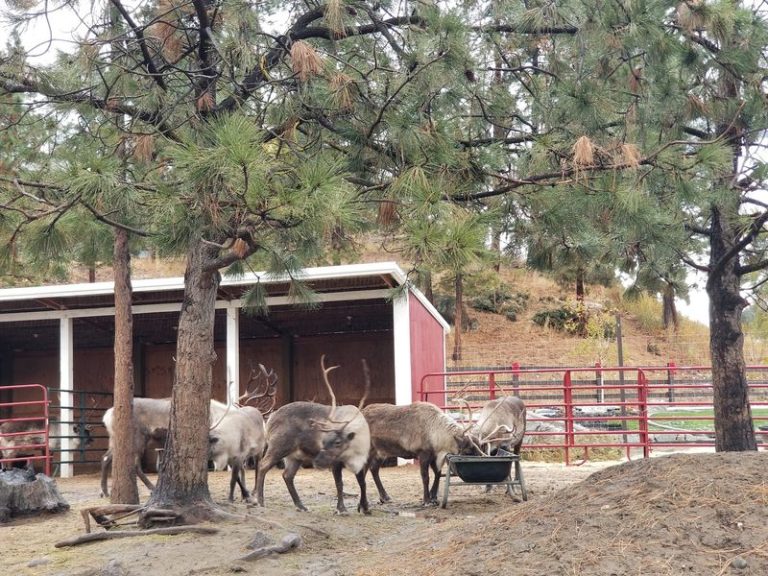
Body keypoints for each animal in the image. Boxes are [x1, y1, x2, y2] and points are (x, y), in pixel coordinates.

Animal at [256, 356, 371, 515]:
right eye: (324, 440)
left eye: (338, 442)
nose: (317, 461)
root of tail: (269, 419)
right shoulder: (336, 462)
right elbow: (339, 484)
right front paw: (341, 509)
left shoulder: (362, 461)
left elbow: (363, 483)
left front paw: (365, 508)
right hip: (279, 446)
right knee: (263, 465)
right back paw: (260, 501)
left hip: (295, 456)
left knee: (287, 475)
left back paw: (301, 506)